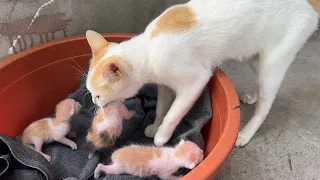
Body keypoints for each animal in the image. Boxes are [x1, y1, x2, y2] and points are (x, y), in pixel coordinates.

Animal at [85, 0, 320, 146]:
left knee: (266, 102)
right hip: (254, 58)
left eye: (98, 95)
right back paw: (252, 96)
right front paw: (155, 125)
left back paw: (246, 132)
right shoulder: (165, 85)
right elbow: (161, 107)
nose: (95, 103)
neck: (149, 48)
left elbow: (173, 113)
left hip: (273, 64)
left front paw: (162, 135)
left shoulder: (196, 81)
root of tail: (308, 4)